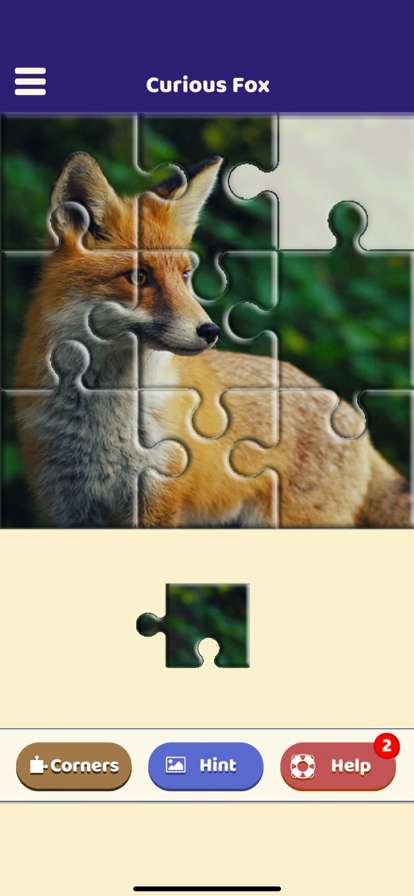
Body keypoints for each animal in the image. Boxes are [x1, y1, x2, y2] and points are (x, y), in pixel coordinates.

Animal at [14, 151, 411, 527]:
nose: (210, 331)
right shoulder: (66, 505)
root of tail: (347, 409)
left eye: (186, 275)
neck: (102, 417)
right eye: (139, 277)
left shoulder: (159, 497)